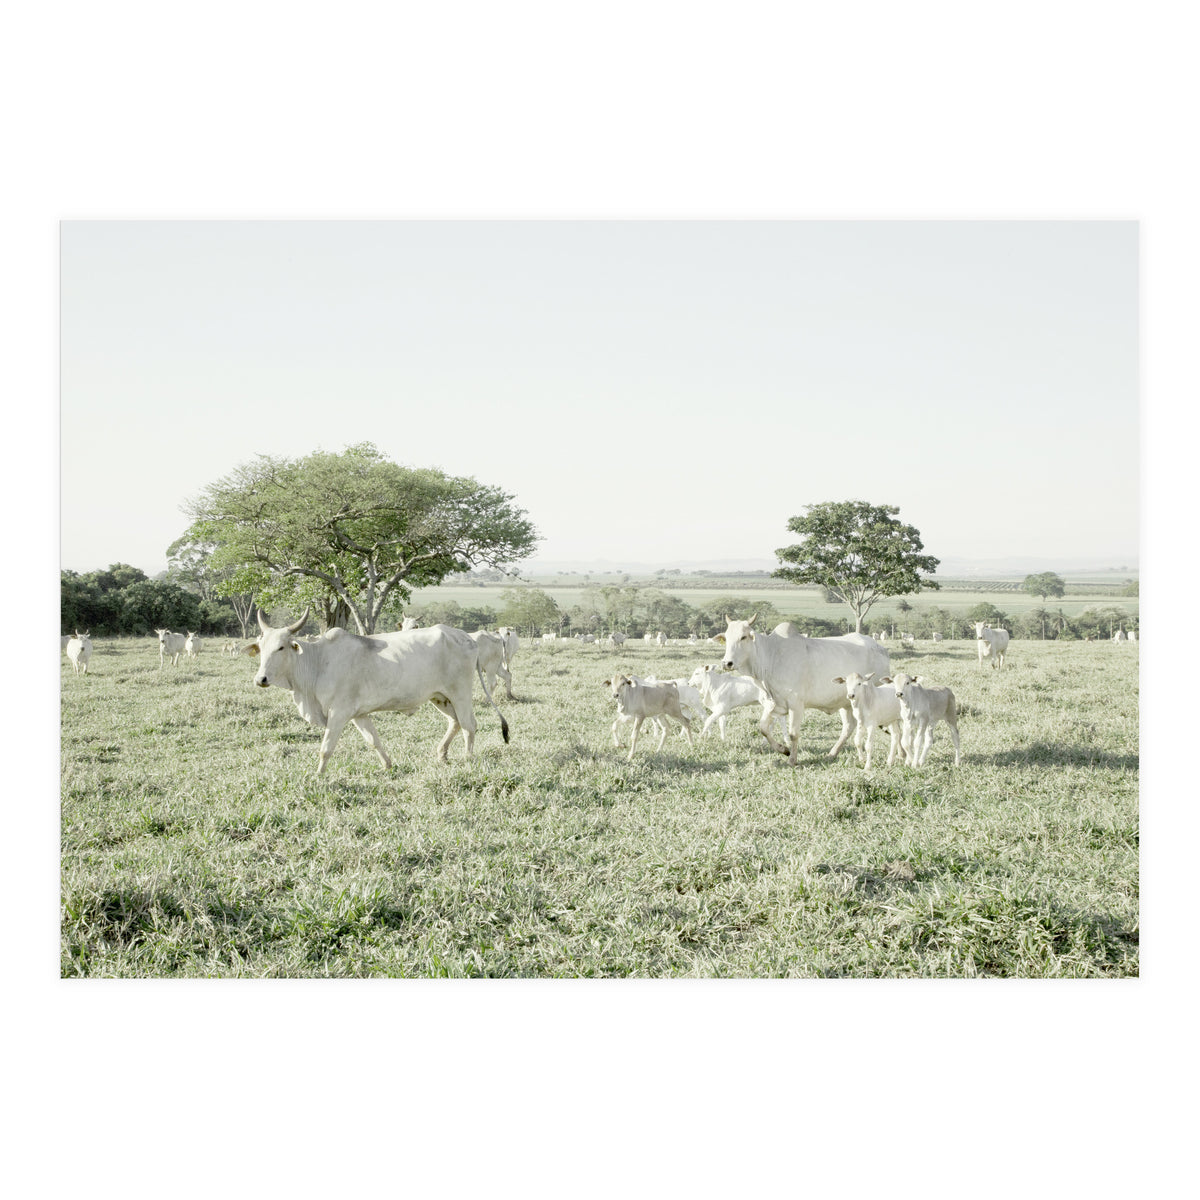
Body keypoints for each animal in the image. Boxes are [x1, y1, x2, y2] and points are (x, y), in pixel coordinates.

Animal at [245, 608, 509, 775]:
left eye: (281, 647)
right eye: (261, 647)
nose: (261, 679)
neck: (318, 662)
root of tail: (466, 637)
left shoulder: (339, 714)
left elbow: (326, 749)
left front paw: (318, 775)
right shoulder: (359, 715)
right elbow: (374, 741)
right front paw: (387, 765)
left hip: (460, 693)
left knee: (469, 725)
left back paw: (467, 758)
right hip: (440, 697)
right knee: (454, 722)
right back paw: (442, 754)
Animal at [716, 613, 891, 765]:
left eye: (743, 637)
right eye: (727, 638)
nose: (727, 663)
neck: (771, 656)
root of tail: (880, 648)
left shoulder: (796, 704)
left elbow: (793, 733)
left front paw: (792, 759)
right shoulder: (773, 704)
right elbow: (763, 728)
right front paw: (783, 749)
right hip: (846, 702)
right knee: (848, 726)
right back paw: (832, 753)